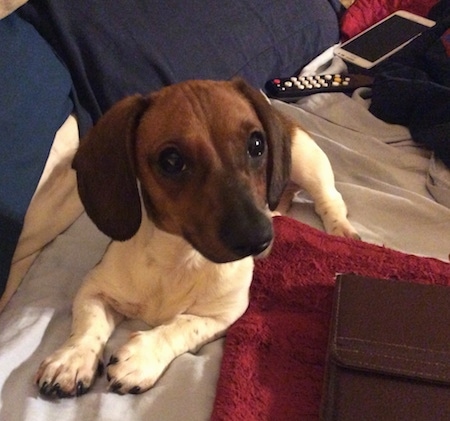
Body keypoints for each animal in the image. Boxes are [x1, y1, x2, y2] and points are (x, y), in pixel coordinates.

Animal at [35, 78, 358, 398]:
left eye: (256, 144)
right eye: (171, 160)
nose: (259, 238)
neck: (180, 258)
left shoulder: (223, 314)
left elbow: (181, 326)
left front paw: (142, 357)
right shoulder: (96, 287)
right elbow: (88, 325)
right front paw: (72, 358)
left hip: (309, 162)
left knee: (329, 199)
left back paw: (342, 230)